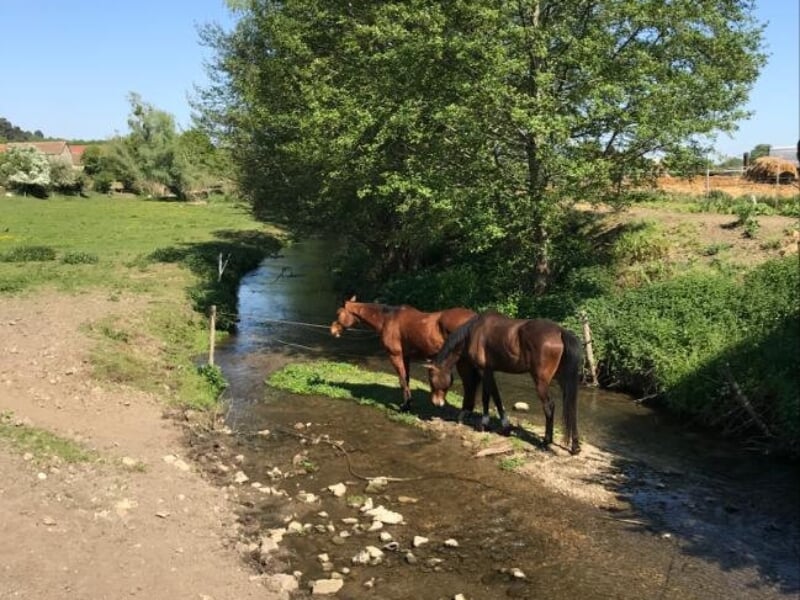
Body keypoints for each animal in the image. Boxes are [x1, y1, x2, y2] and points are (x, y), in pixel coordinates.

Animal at [330, 296, 481, 412]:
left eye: (338, 313)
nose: (332, 330)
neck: (387, 319)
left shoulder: (395, 356)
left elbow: (402, 380)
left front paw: (405, 406)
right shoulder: (406, 357)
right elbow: (407, 379)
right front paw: (408, 403)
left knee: (469, 384)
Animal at [425, 311, 583, 454]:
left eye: (432, 380)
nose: (436, 403)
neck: (473, 332)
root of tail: (560, 332)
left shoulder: (483, 370)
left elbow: (490, 395)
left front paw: (491, 424)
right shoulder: (489, 370)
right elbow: (491, 395)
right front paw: (494, 423)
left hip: (541, 382)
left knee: (549, 407)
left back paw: (545, 442)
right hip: (562, 379)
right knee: (571, 406)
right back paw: (575, 446)